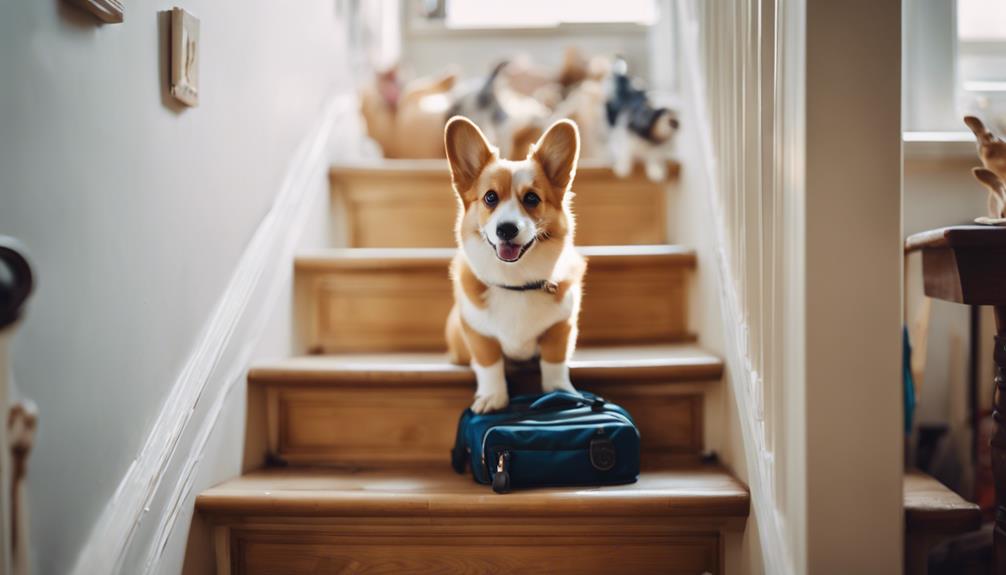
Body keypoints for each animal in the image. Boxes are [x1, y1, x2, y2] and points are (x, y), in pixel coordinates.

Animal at [442, 116, 587, 414]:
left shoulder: (561, 328)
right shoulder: (478, 334)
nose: (506, 229)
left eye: (532, 198)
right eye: (490, 197)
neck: (515, 282)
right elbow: (489, 365)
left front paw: (559, 391)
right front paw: (493, 397)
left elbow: (554, 363)